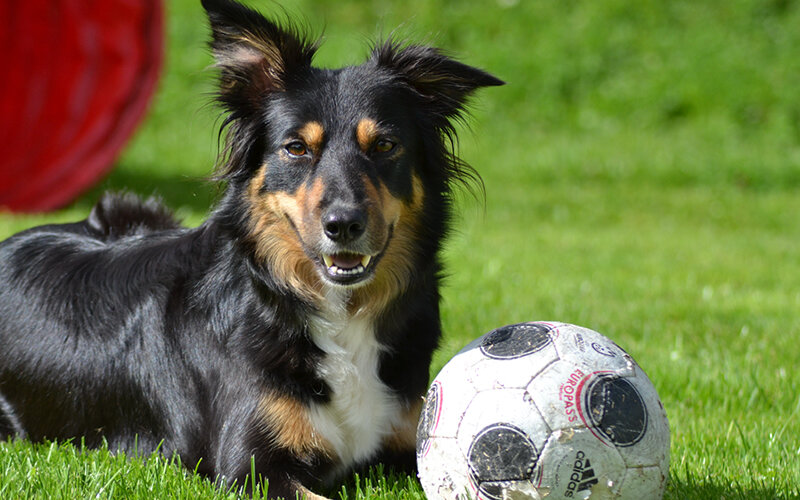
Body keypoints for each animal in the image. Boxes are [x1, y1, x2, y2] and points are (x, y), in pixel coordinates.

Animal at [0, 0, 500, 496]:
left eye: (384, 145)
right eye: (296, 148)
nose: (344, 225)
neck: (335, 310)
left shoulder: (410, 444)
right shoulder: (252, 465)